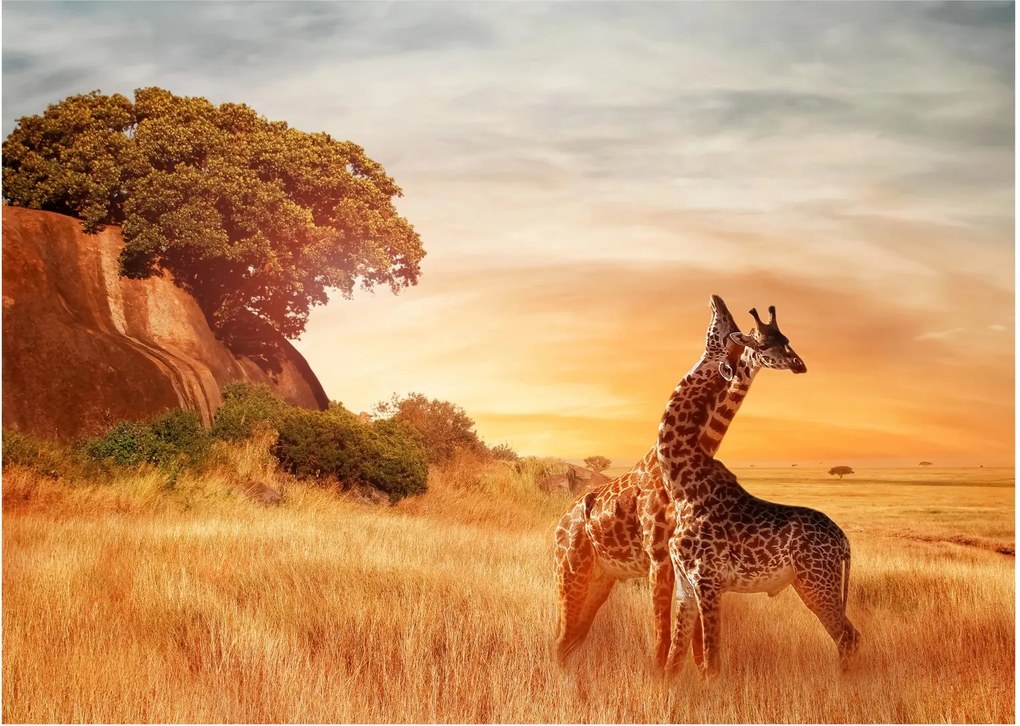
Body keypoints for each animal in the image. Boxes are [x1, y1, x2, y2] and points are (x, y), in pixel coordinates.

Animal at [553, 296, 807, 668]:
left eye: (785, 338)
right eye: (760, 340)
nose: (798, 364)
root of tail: (560, 523)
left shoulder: (687, 563)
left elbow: (693, 643)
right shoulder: (660, 558)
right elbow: (664, 636)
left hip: (601, 578)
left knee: (571, 638)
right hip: (571, 571)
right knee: (561, 638)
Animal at [656, 296, 859, 677]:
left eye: (725, 328)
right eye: (761, 340)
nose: (717, 300)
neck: (681, 486)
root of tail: (844, 542)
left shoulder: (708, 581)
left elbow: (711, 662)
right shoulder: (684, 586)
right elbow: (674, 661)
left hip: (817, 581)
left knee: (847, 637)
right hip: (810, 583)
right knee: (849, 635)